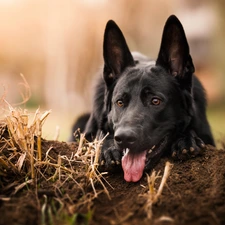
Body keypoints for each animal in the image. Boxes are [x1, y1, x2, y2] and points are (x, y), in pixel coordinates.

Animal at [71, 15, 214, 182]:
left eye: (155, 101)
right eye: (120, 102)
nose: (124, 138)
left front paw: (186, 139)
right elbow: (100, 134)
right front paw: (108, 148)